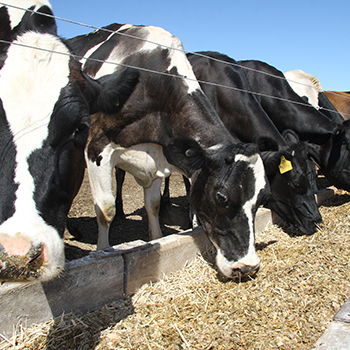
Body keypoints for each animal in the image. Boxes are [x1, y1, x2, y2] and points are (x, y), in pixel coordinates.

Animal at [68, 23, 270, 278]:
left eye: (262, 199)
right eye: (221, 197)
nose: (248, 267)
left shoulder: (157, 158)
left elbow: (153, 205)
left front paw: (157, 240)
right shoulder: (96, 147)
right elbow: (105, 209)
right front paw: (102, 251)